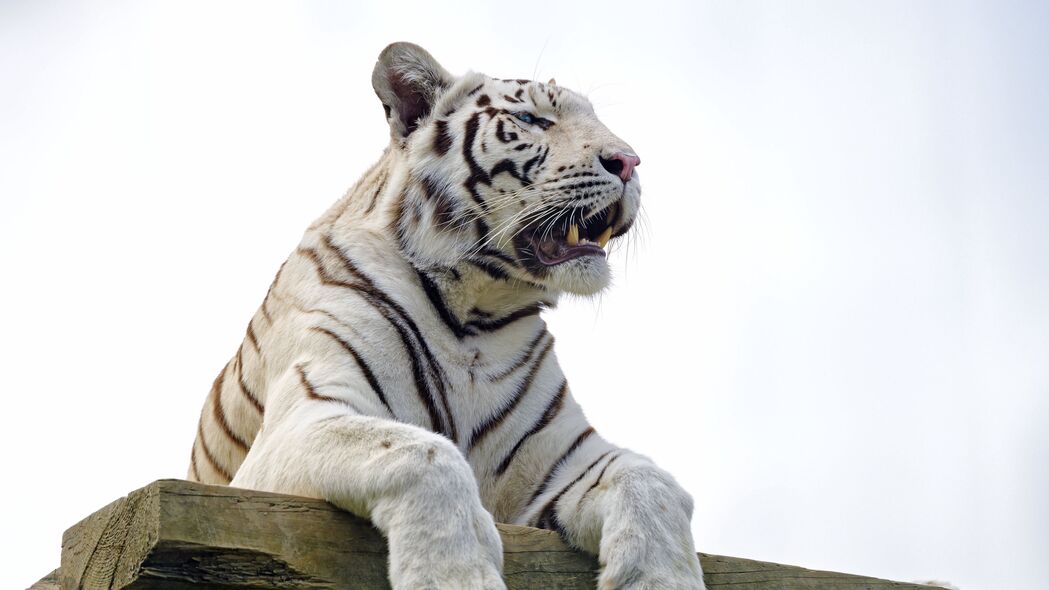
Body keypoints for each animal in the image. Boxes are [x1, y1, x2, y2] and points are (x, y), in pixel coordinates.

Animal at [193, 42, 709, 587]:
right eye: (531, 119)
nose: (628, 162)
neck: (478, 315)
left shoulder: (562, 456)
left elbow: (651, 479)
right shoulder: (297, 426)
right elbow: (425, 452)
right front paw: (455, 573)